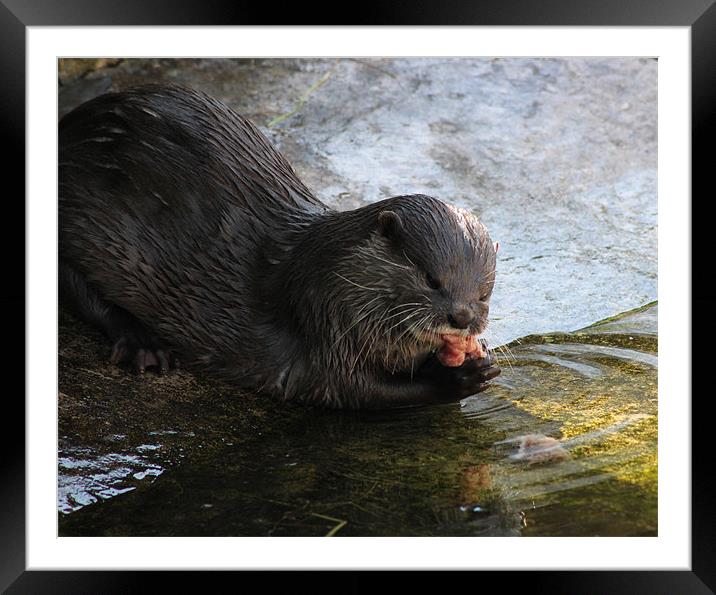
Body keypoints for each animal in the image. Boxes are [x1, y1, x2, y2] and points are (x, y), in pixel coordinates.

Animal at [58, 84, 500, 410]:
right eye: (431, 279)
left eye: (483, 293)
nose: (462, 317)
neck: (334, 276)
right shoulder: (325, 327)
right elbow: (356, 391)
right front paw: (460, 377)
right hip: (81, 217)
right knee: (77, 289)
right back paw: (143, 344)